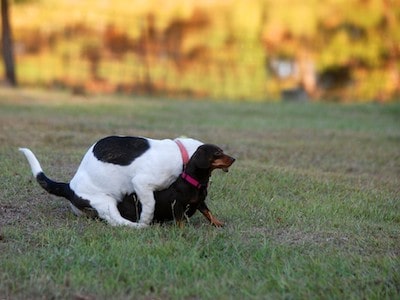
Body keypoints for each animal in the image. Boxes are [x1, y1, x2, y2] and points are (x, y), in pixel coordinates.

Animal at [19, 136, 234, 227]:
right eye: (218, 153)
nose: (233, 159)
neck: (179, 152)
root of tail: (69, 187)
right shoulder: (142, 184)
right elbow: (150, 204)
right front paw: (146, 219)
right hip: (105, 203)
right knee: (117, 222)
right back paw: (139, 226)